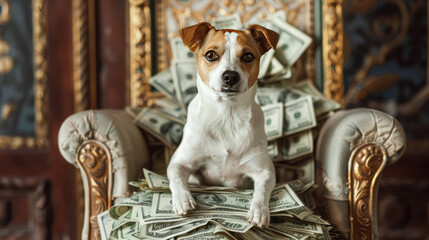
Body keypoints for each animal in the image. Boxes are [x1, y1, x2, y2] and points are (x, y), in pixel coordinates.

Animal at [166, 21, 280, 228]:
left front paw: (259, 211)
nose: (230, 76)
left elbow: (262, 191)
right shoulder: (180, 162)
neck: (227, 116)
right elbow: (177, 179)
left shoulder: (264, 170)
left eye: (248, 56)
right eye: (211, 55)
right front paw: (183, 200)